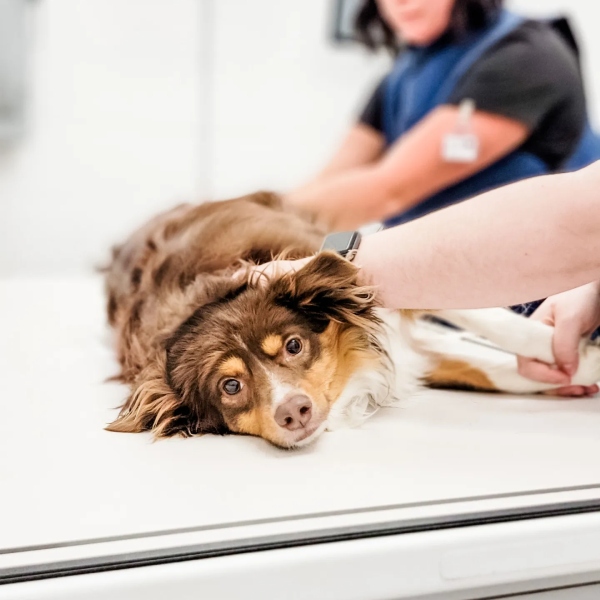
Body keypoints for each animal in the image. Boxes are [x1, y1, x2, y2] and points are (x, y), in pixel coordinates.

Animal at [105, 190, 600, 448]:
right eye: (230, 387)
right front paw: (573, 371)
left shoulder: (367, 282)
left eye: (293, 345)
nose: (293, 411)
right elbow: (487, 369)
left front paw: (571, 351)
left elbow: (495, 324)